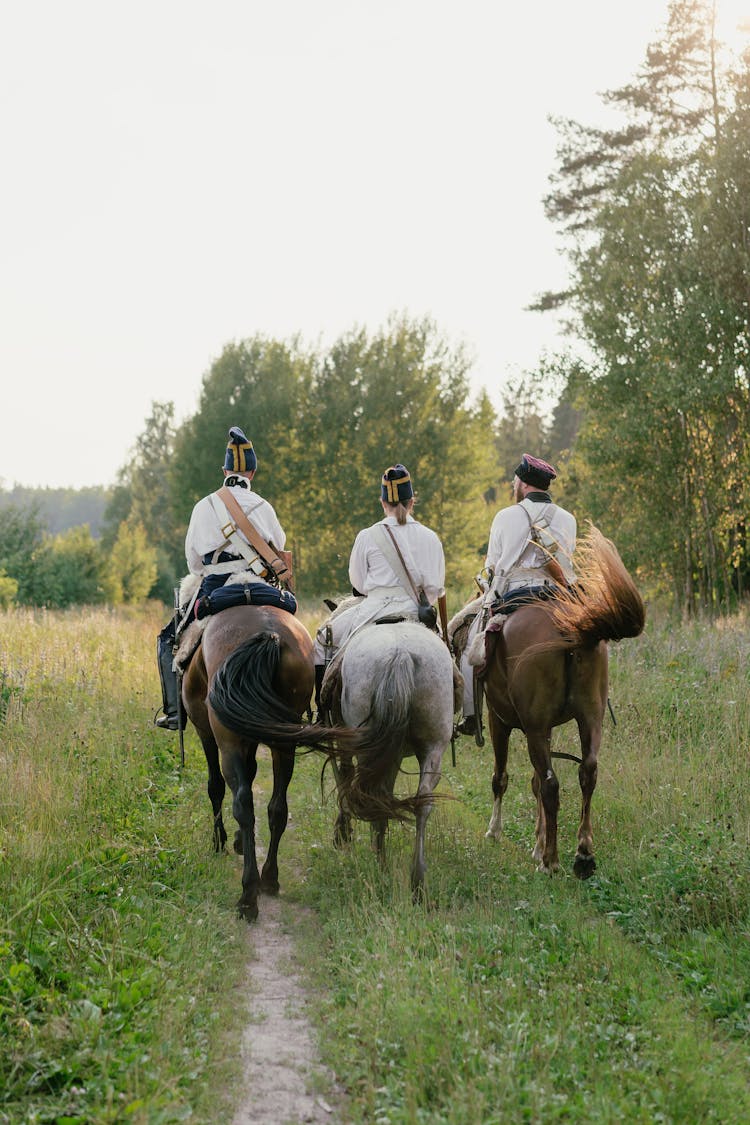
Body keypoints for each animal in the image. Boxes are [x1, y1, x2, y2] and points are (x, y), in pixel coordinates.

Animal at [179, 603, 359, 918]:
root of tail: (269, 634)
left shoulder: (206, 732)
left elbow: (215, 787)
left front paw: (220, 841)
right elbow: (252, 775)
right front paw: (239, 841)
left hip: (228, 740)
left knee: (243, 803)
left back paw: (248, 896)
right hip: (282, 741)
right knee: (277, 808)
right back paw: (270, 879)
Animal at [326, 621, 461, 900]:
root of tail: (400, 653)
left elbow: (345, 778)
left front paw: (342, 833)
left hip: (368, 748)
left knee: (371, 795)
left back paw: (382, 865)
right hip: (432, 748)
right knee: (421, 803)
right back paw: (417, 882)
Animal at [470, 524, 647, 877]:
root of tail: (571, 629)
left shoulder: (501, 721)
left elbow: (503, 778)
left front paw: (497, 833)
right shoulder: (545, 726)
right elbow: (535, 782)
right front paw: (537, 844)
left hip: (535, 727)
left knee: (552, 784)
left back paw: (551, 862)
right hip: (590, 719)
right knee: (587, 773)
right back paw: (583, 853)